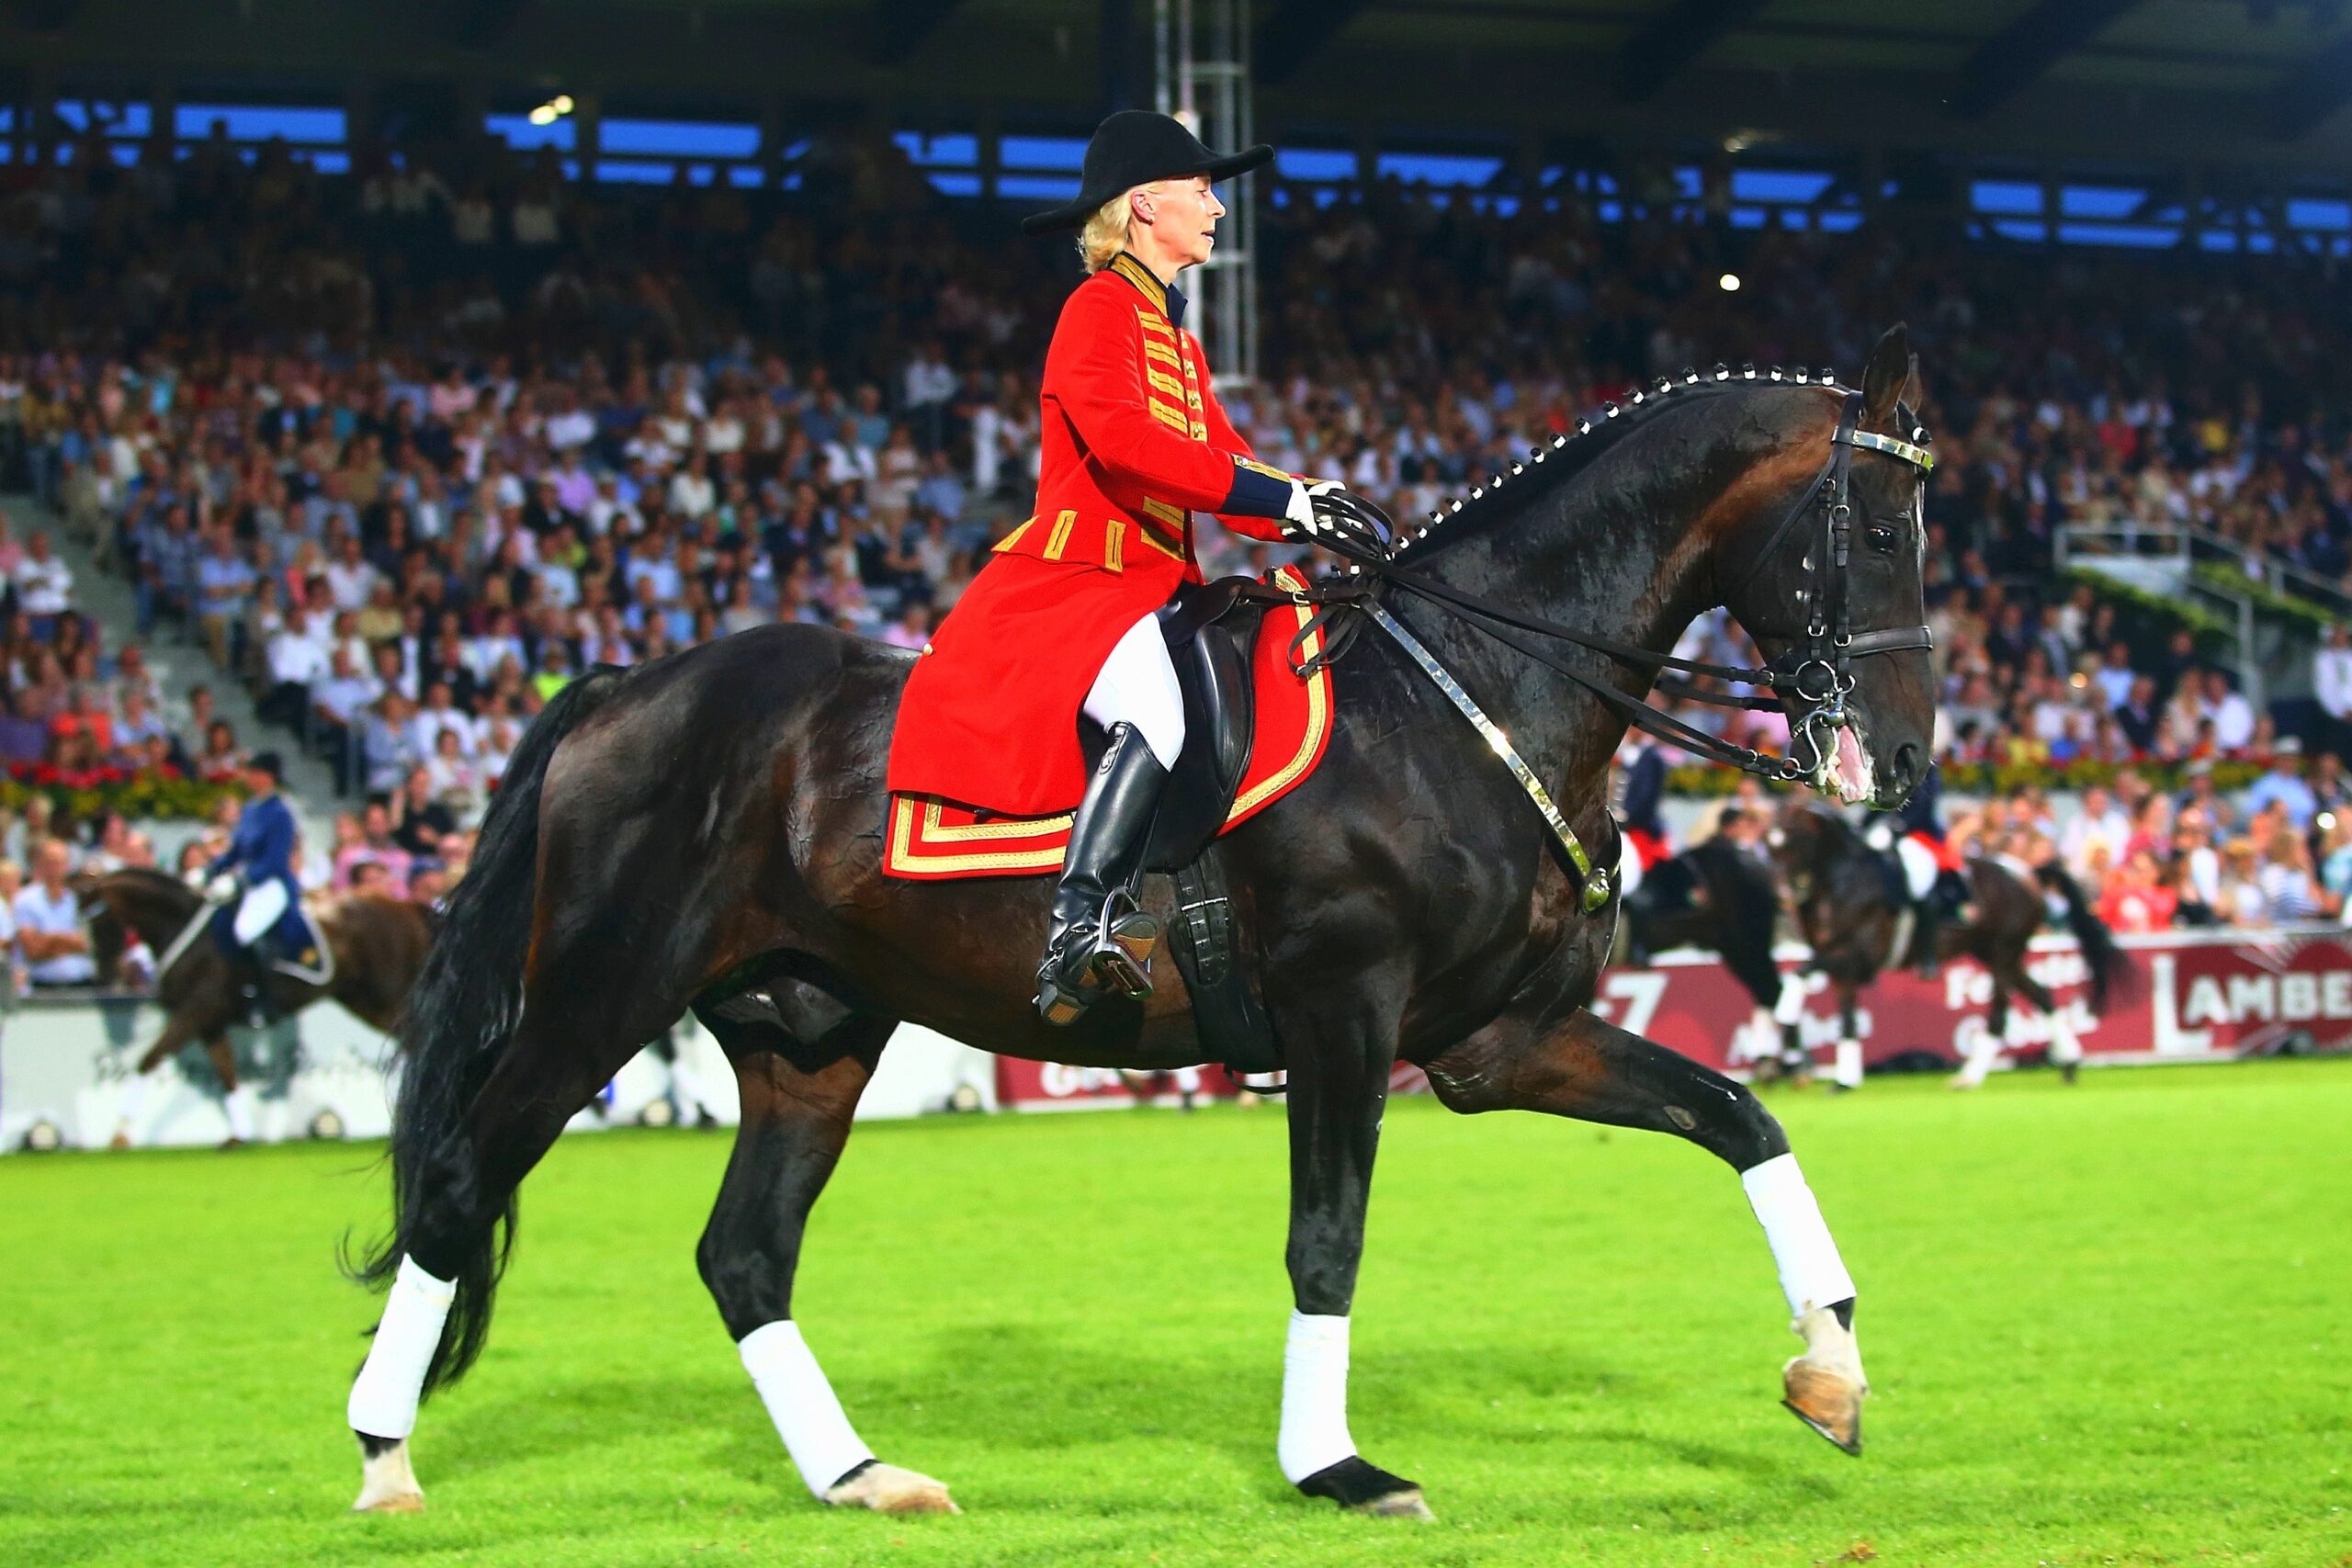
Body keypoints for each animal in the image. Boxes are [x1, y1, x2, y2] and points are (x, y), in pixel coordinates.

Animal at [83, 869, 442, 1142]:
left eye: (100, 921)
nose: (103, 975)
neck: (181, 929)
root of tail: (407, 905)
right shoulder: (210, 1023)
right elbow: (227, 1075)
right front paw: (238, 1137)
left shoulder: (194, 1011)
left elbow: (148, 1061)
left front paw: (120, 1134)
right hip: (363, 1000)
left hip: (387, 997)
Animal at [341, 329, 1938, 1523]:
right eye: (1874, 527)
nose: (1913, 755)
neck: (1461, 691)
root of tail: (627, 681)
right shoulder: (1343, 1012)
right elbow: (1327, 1236)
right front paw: (1333, 1463)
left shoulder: (1500, 1038)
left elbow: (1739, 1113)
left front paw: (1833, 1361)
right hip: (597, 995)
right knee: (463, 1179)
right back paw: (384, 1459)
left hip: (811, 1033)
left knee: (744, 1252)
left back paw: (859, 1472)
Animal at [1778, 804, 2135, 1086]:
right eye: (1771, 845)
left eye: (1797, 839)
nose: (1786, 896)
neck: (1842, 881)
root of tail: (2026, 873)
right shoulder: (1841, 963)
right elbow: (1846, 1019)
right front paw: (1842, 1080)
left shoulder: (1858, 956)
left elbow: (1798, 976)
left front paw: (1789, 1037)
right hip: (1995, 952)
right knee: (2042, 996)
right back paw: (2069, 1065)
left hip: (2003, 953)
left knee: (2000, 1015)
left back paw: (1970, 1077)